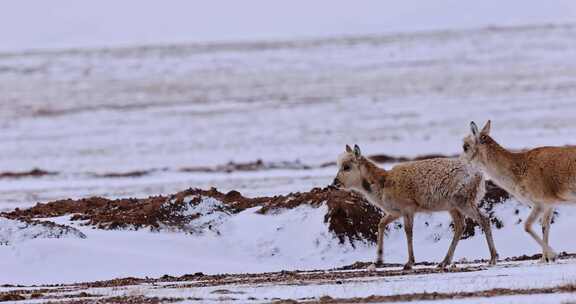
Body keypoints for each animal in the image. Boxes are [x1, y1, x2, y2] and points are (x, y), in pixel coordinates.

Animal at [330, 146, 498, 270]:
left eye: (347, 167)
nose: (335, 183)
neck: (382, 185)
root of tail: (480, 176)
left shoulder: (408, 209)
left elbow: (408, 232)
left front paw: (409, 262)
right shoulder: (395, 212)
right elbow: (381, 223)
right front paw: (378, 259)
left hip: (463, 202)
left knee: (484, 219)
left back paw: (493, 258)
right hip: (453, 207)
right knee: (460, 226)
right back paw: (444, 261)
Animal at [464, 120, 576, 262]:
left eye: (465, 146)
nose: (460, 162)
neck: (519, 170)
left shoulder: (541, 203)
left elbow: (527, 226)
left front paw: (552, 254)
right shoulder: (549, 205)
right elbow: (545, 227)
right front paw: (544, 259)